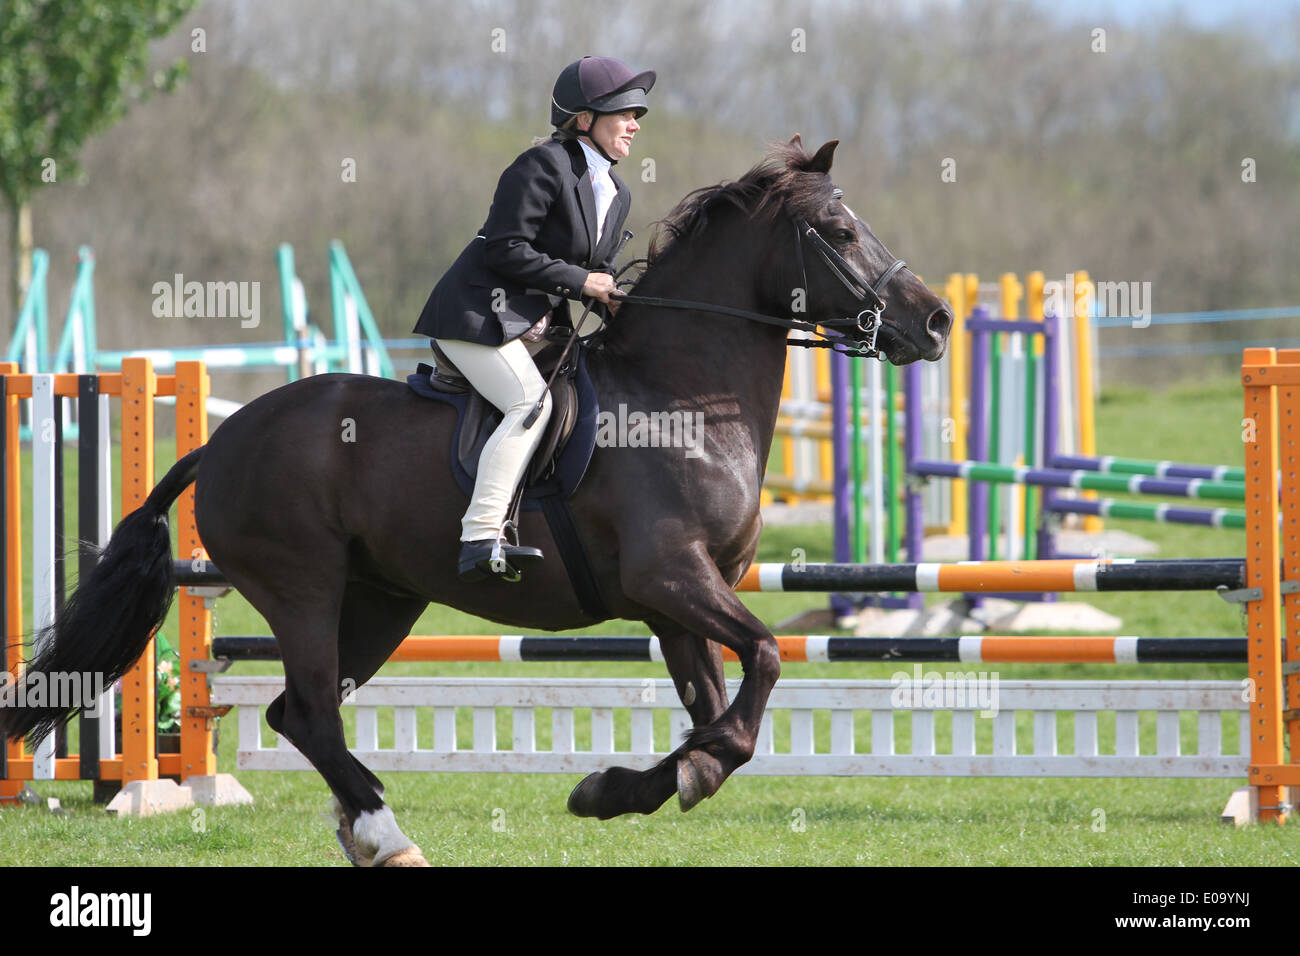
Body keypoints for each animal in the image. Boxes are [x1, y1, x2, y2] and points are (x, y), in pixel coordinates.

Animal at [2, 136, 956, 868]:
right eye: (839, 231)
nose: (938, 321)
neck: (683, 395)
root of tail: (224, 439)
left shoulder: (678, 601)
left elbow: (717, 713)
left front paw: (625, 788)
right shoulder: (671, 578)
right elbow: (762, 662)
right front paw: (657, 780)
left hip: (383, 600)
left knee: (299, 712)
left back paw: (366, 833)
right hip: (303, 588)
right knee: (308, 710)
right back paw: (388, 835)